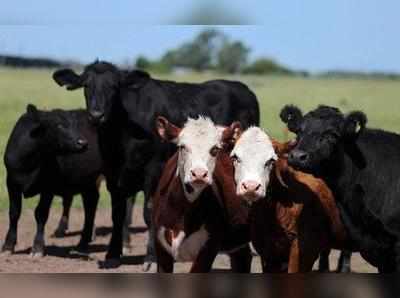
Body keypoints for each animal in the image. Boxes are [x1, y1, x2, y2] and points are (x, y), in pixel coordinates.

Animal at [2, 104, 102, 256]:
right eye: (58, 125)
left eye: (75, 125)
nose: (83, 143)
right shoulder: (12, 183)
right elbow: (14, 213)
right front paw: (8, 245)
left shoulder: (48, 186)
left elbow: (41, 214)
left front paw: (37, 247)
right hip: (87, 180)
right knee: (91, 203)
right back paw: (82, 244)